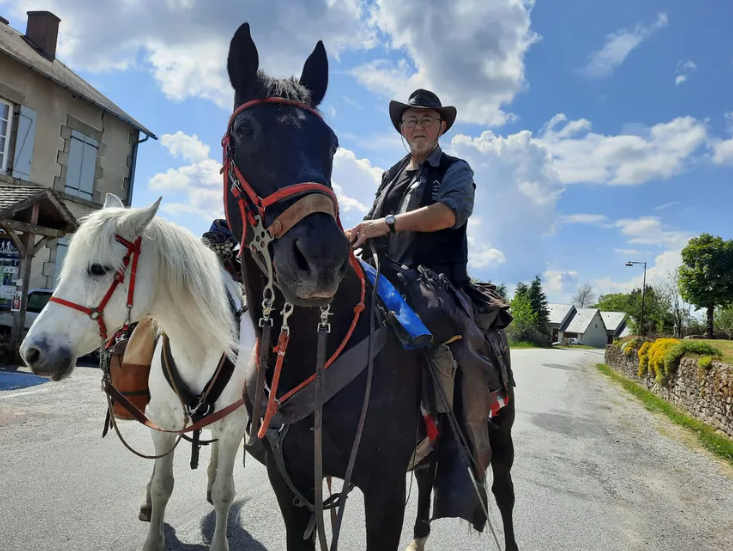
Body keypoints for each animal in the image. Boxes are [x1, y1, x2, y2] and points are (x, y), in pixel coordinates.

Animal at [19, 193, 257, 551]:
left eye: (97, 269)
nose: (31, 352)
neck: (201, 344)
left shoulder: (232, 422)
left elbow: (224, 492)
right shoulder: (163, 423)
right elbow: (162, 485)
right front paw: (153, 537)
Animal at [221, 22, 519, 551]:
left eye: (331, 143)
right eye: (243, 131)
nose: (320, 257)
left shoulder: (383, 489)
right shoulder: (292, 487)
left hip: (499, 436)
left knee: (502, 497)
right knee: (430, 482)